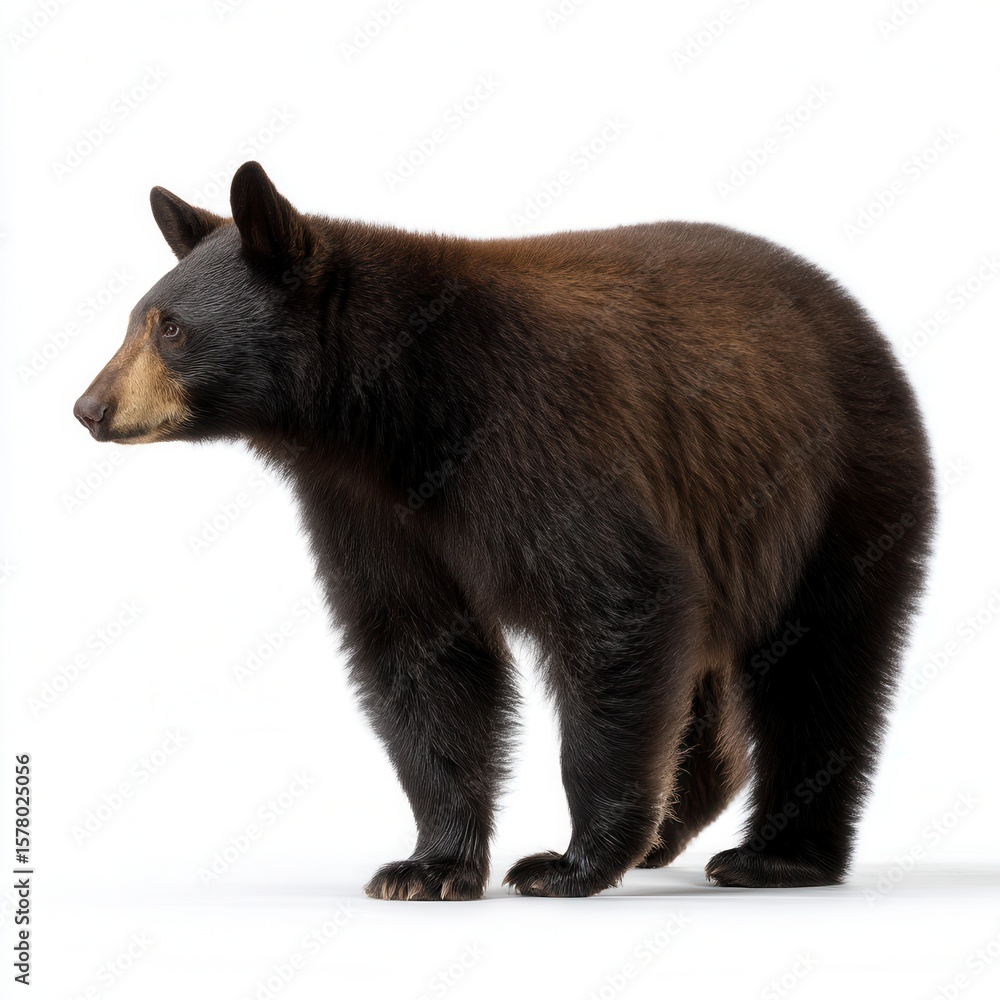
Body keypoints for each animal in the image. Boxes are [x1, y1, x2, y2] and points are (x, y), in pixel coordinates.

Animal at [74, 161, 935, 900]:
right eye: (135, 320)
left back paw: (775, 856)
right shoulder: (368, 508)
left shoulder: (535, 432)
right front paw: (429, 865)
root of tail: (855, 314)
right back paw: (671, 828)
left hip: (839, 487)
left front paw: (567, 863)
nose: (89, 408)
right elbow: (421, 654)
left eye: (170, 328)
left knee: (823, 668)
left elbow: (617, 600)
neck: (399, 413)